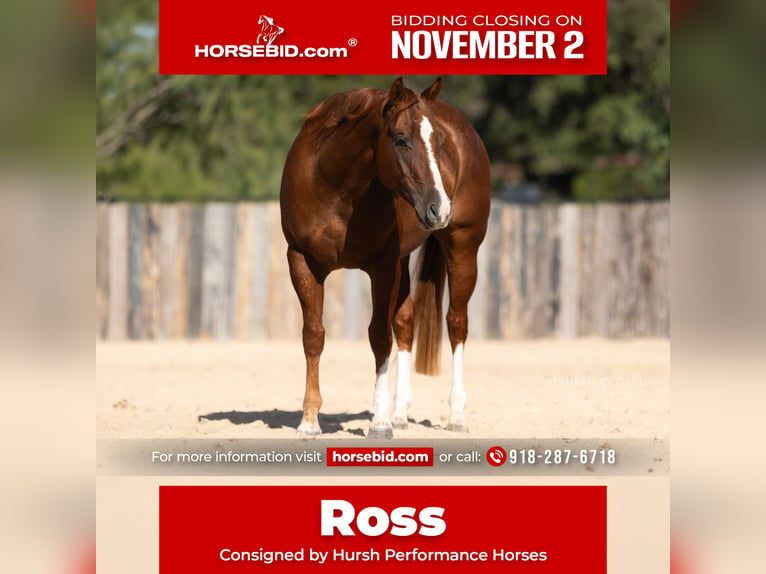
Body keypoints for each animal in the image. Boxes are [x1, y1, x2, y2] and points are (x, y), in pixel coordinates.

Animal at [280, 77, 490, 438]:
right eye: (401, 139)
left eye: (440, 141)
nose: (439, 208)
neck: (335, 187)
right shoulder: (303, 261)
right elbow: (314, 335)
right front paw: (308, 420)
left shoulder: (381, 266)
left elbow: (379, 337)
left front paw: (378, 422)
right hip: (403, 262)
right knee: (406, 323)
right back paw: (400, 413)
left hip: (463, 250)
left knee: (456, 324)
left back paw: (455, 415)